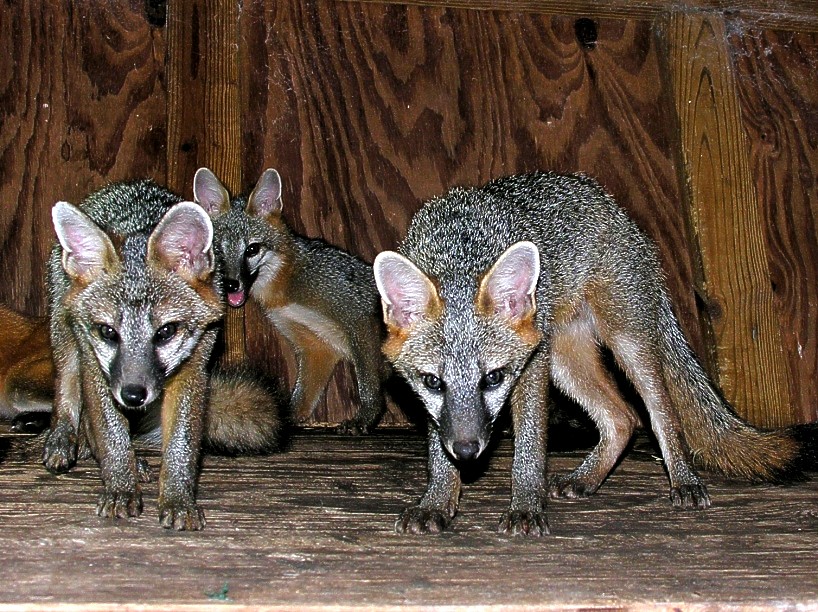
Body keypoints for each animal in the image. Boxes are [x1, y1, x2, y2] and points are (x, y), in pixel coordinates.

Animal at [42, 179, 283, 530]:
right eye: (108, 332)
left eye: (166, 332)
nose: (132, 395)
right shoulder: (97, 367)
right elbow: (110, 433)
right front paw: (120, 487)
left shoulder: (193, 367)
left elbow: (182, 443)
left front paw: (177, 499)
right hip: (68, 338)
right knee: (69, 388)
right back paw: (64, 439)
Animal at [192, 167, 387, 434]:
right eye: (219, 252)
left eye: (251, 249)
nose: (232, 284)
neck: (285, 288)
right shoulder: (316, 348)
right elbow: (303, 395)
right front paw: (282, 420)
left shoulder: (359, 317)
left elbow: (368, 383)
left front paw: (365, 418)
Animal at [373, 171, 818, 536]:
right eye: (433, 382)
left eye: (493, 378)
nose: (467, 451)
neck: (459, 250)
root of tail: (614, 208)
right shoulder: (449, 400)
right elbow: (438, 444)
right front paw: (438, 499)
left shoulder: (530, 368)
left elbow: (531, 443)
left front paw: (526, 505)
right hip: (565, 361)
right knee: (622, 419)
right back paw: (587, 477)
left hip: (626, 344)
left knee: (660, 413)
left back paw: (684, 479)